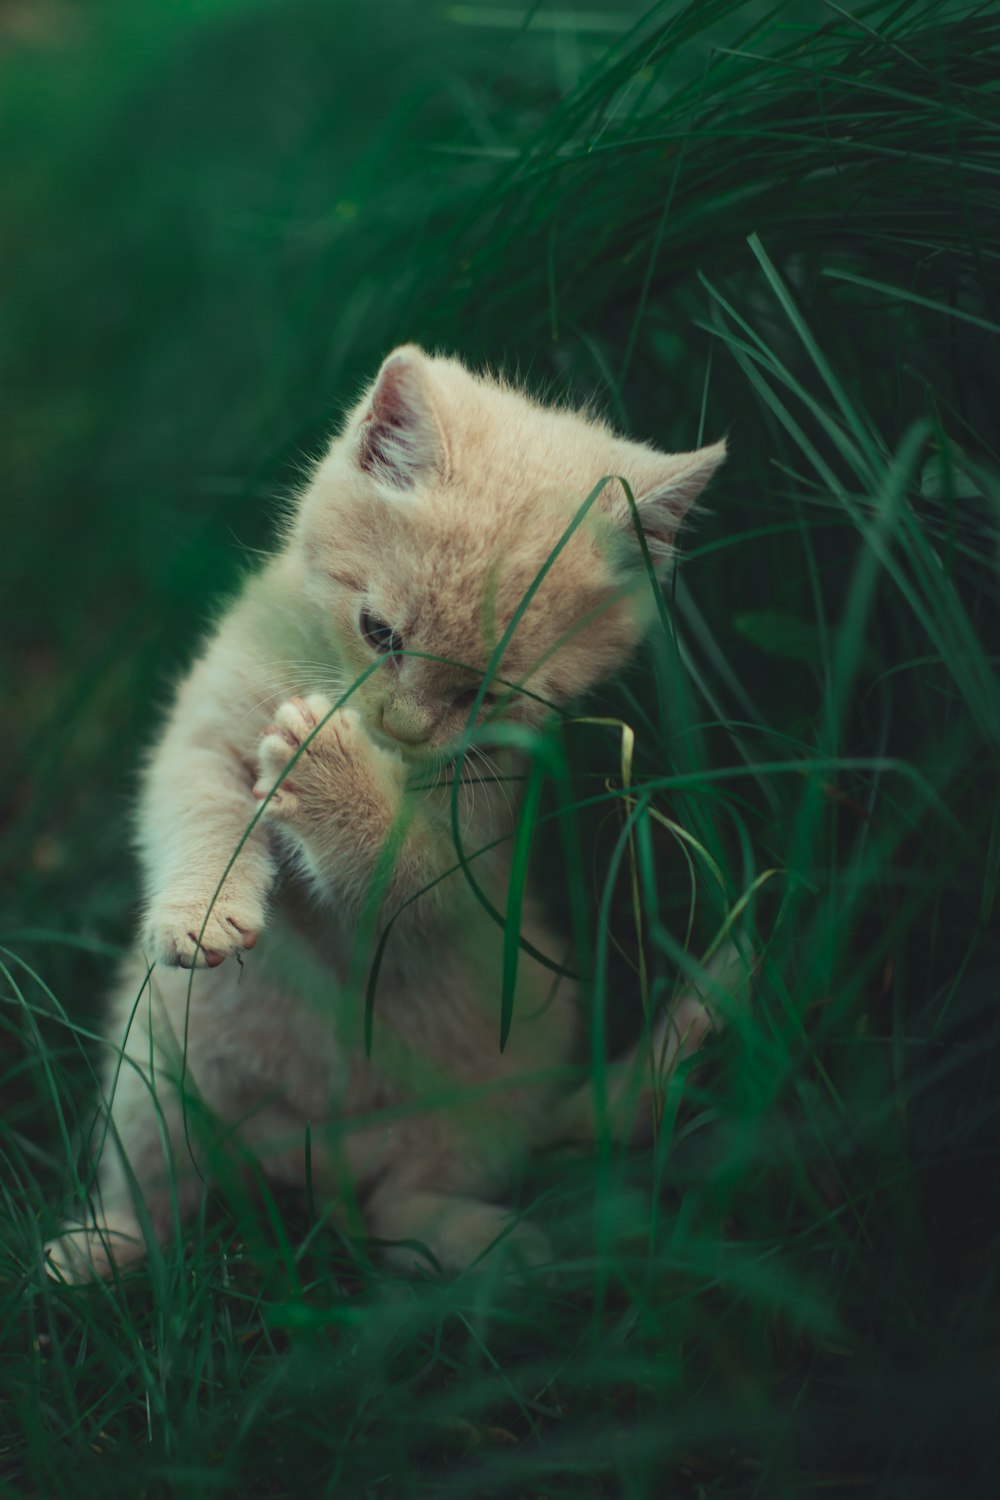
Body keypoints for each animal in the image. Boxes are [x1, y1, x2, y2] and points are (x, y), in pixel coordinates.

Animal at [46, 348, 731, 1278]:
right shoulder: (203, 737)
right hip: (148, 1071)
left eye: (487, 695)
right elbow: (197, 814)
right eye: (379, 633)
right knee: (160, 1199)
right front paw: (204, 910)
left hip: (501, 1086)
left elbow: (400, 866)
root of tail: (312, 1155)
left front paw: (330, 770)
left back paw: (504, 1246)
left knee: (400, 1209)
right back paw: (93, 1251)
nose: (400, 728)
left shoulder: (467, 855)